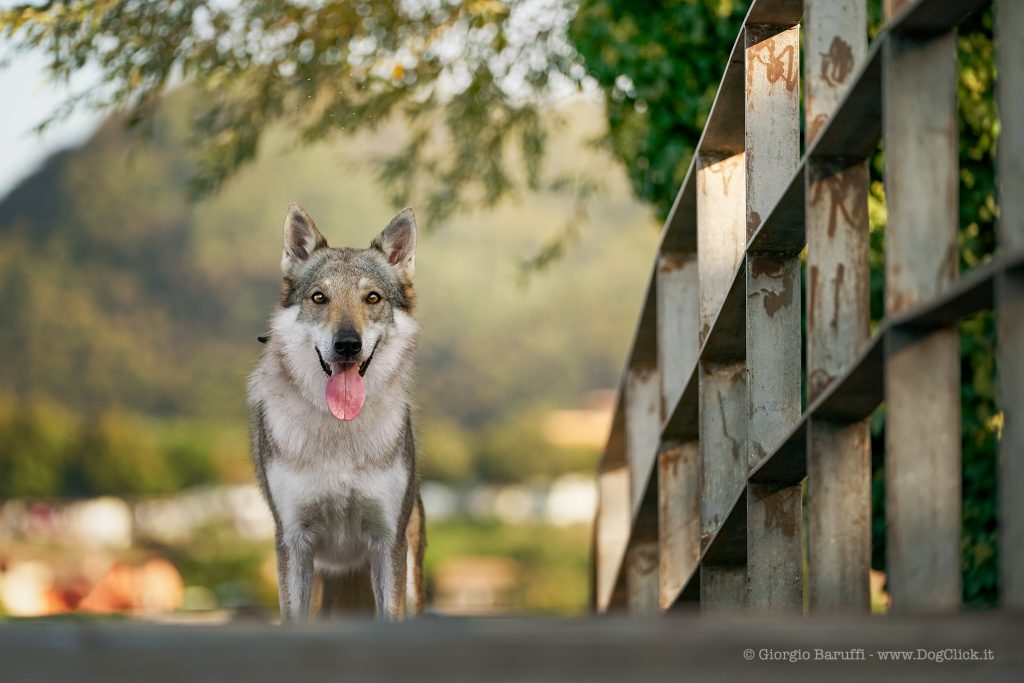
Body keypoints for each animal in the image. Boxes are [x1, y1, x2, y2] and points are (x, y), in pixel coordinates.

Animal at [247, 204, 423, 626]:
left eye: (372, 297)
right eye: (319, 297)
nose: (346, 345)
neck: (339, 434)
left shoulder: (388, 542)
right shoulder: (294, 544)